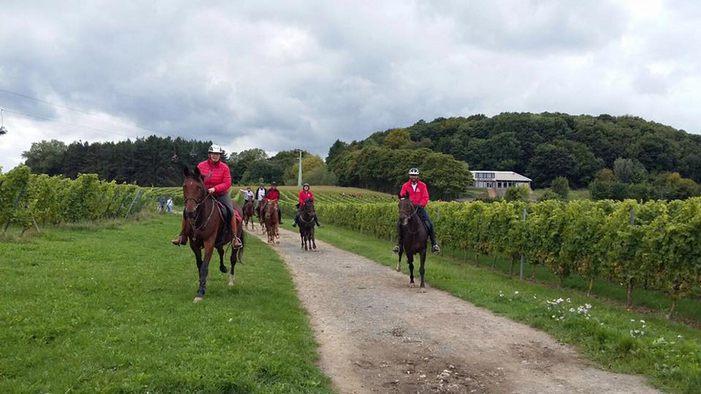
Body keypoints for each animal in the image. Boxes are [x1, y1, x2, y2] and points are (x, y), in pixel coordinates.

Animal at [182, 166, 245, 302]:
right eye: (184, 186)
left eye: (199, 187)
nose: (190, 212)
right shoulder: (194, 244)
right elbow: (199, 265)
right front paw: (201, 286)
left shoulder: (209, 243)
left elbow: (204, 266)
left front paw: (200, 293)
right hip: (219, 242)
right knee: (221, 251)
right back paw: (223, 268)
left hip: (234, 241)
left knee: (232, 259)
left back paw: (231, 281)